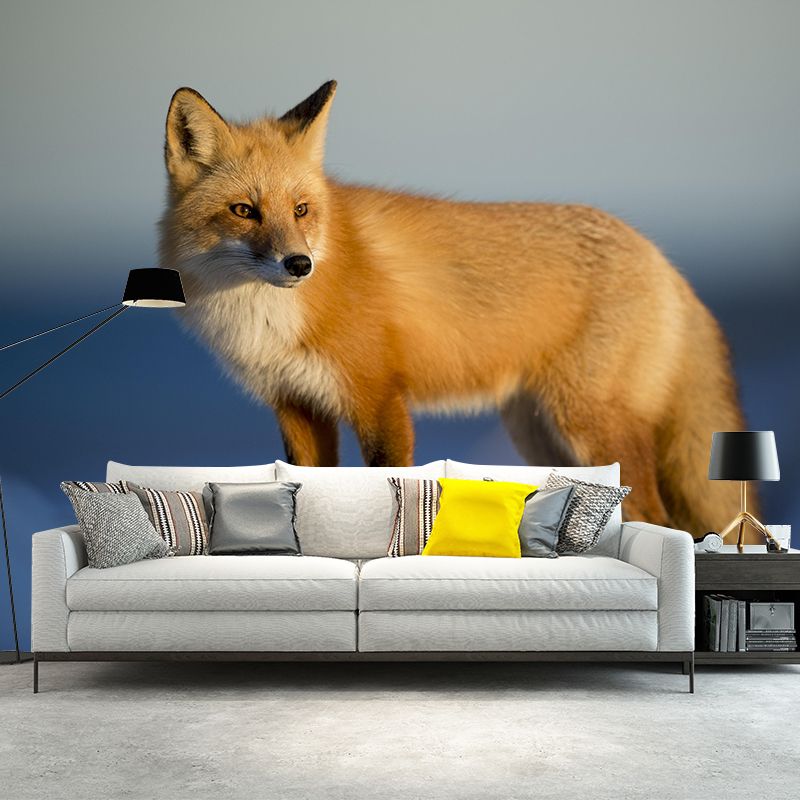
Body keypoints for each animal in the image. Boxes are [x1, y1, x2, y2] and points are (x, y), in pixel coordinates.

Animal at [159, 80, 750, 537]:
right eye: (244, 211)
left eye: (301, 209)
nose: (299, 264)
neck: (268, 318)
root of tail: (661, 257)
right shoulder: (297, 404)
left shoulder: (379, 397)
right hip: (542, 436)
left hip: (587, 424)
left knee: (659, 521)